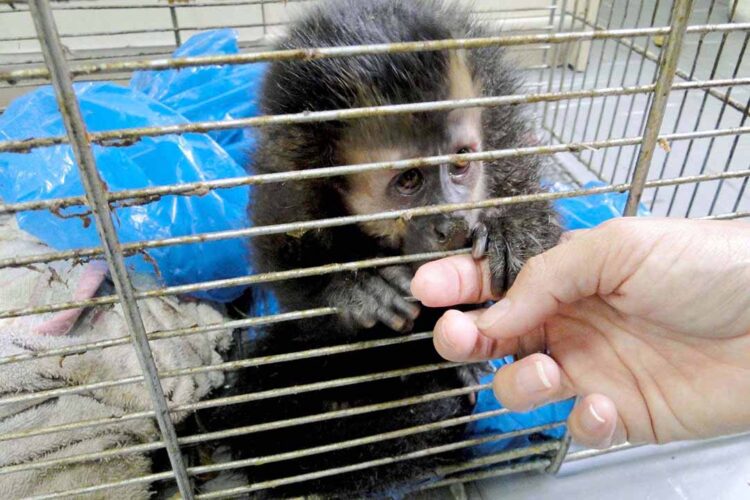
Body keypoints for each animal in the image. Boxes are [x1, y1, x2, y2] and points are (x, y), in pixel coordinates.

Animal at [198, 0, 563, 498]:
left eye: (460, 164)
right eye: (408, 180)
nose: (451, 224)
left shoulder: (498, 115)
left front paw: (514, 228)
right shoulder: (287, 166)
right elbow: (284, 261)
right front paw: (352, 288)